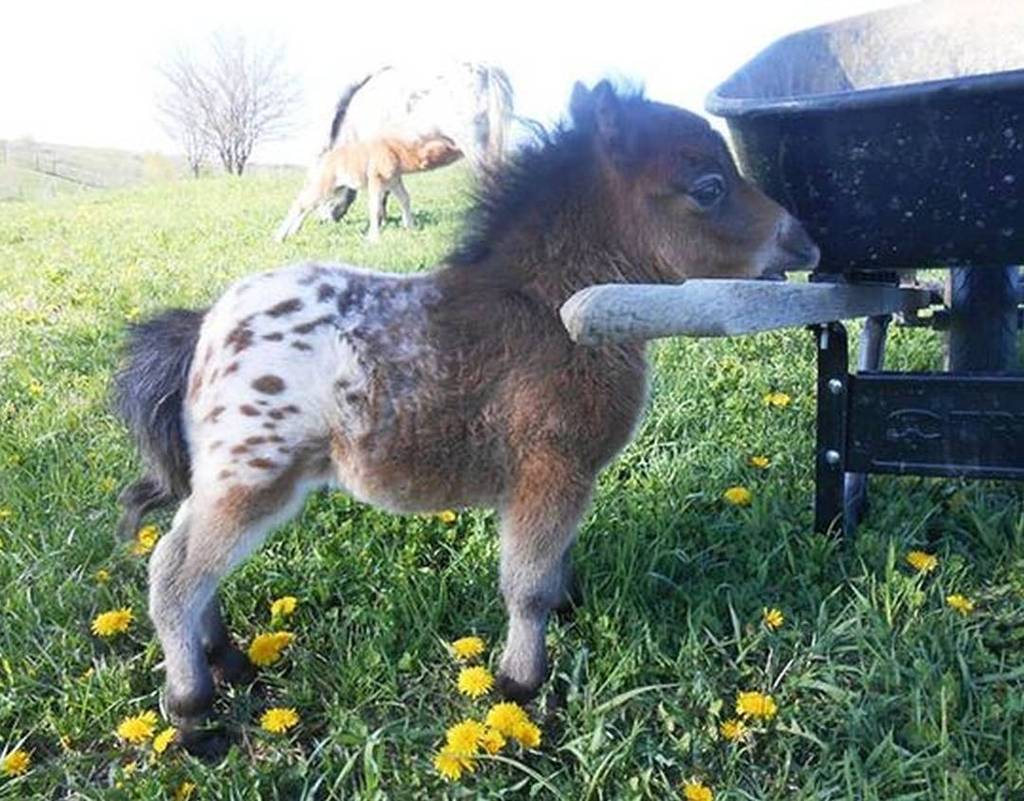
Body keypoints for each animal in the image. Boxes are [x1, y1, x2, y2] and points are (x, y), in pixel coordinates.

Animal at [274, 136, 461, 242]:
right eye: (446, 148)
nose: (459, 149)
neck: (396, 150)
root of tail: (324, 158)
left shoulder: (394, 181)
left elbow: (405, 199)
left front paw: (411, 228)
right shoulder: (376, 180)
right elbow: (375, 207)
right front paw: (374, 237)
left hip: (334, 189)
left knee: (309, 206)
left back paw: (293, 232)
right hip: (324, 185)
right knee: (300, 204)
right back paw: (279, 237)